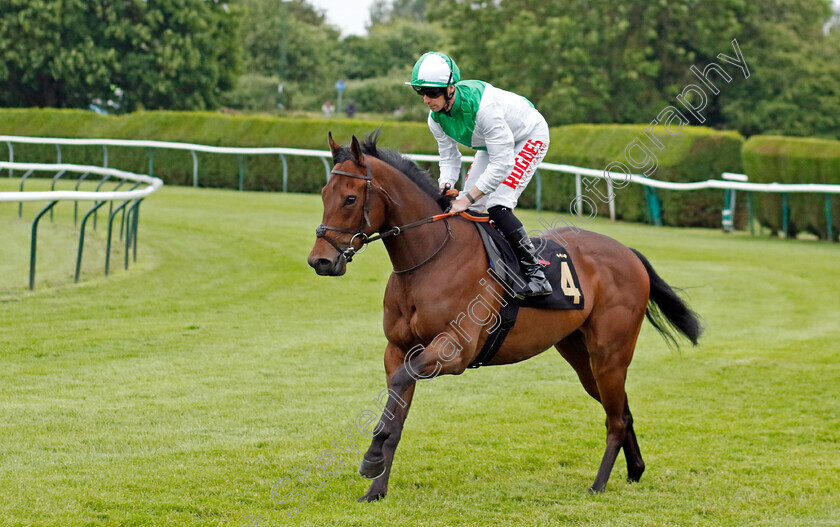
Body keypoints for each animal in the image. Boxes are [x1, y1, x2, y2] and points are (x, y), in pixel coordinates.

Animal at [306, 132, 700, 504]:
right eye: (324, 193)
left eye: (350, 198)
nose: (320, 261)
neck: (430, 258)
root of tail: (629, 253)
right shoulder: (398, 349)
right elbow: (395, 411)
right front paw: (376, 487)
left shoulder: (454, 351)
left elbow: (402, 386)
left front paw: (371, 458)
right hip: (581, 356)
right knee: (621, 408)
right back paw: (635, 470)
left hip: (610, 353)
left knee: (615, 419)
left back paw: (599, 484)